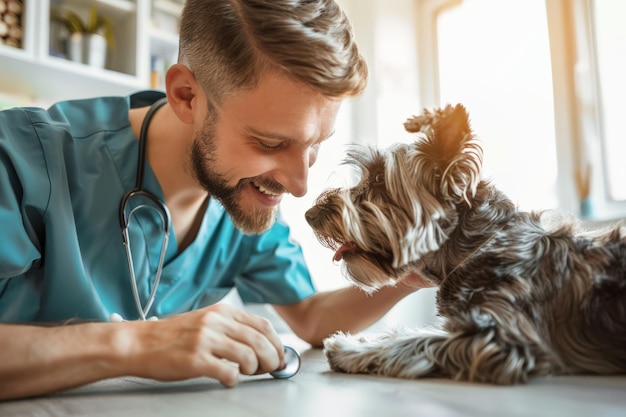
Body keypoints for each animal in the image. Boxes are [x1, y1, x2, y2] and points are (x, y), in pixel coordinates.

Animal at [304, 104, 624, 384]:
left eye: (381, 178)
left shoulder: (501, 340)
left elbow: (418, 340)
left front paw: (351, 348)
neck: (480, 246)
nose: (310, 215)